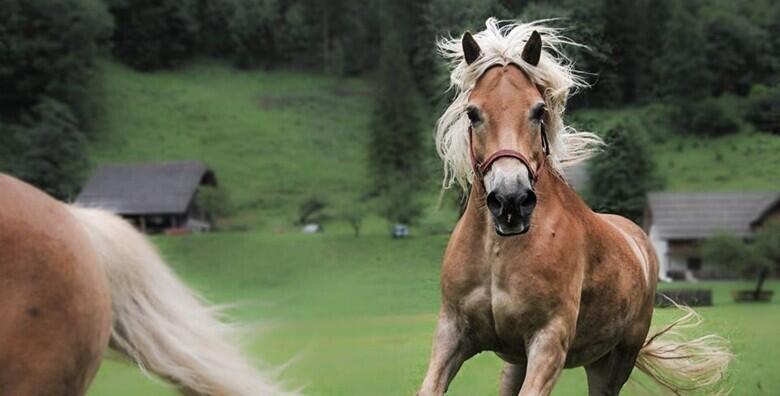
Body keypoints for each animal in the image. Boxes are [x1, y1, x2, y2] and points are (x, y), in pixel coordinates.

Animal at [420, 19, 732, 396]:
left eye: (539, 110)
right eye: (473, 112)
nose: (511, 201)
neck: (498, 251)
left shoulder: (549, 341)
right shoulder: (453, 333)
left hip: (613, 361)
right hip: (516, 361)